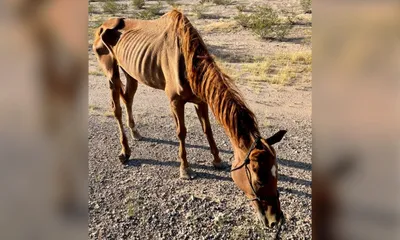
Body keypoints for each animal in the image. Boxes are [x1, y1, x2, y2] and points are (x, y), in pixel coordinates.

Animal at [93, 8, 288, 227]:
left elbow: (208, 130)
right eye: (258, 180)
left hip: (131, 72)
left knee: (128, 99)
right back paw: (125, 151)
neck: (187, 61)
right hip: (111, 73)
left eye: (277, 173)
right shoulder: (175, 102)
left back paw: (136, 132)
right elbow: (182, 133)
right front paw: (185, 169)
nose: (276, 219)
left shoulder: (201, 101)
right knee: (116, 108)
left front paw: (217, 160)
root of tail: (102, 25)